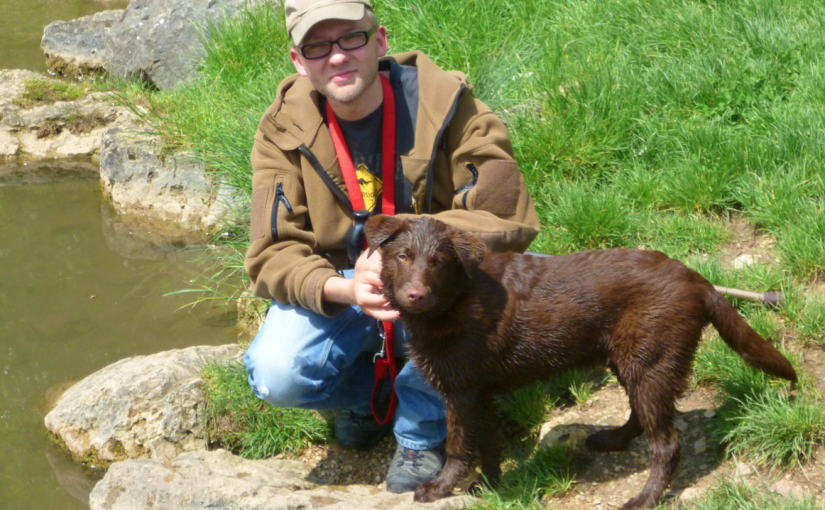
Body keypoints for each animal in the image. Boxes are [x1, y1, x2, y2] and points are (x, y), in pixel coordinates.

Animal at [364, 214, 796, 510]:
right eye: (403, 256)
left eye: (438, 261)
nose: (416, 294)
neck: (455, 303)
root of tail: (700, 281)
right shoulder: (480, 390)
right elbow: (488, 442)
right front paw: (488, 485)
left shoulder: (461, 389)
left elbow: (458, 446)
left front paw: (438, 488)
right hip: (631, 359)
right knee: (642, 415)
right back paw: (611, 440)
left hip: (650, 358)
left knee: (666, 444)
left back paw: (642, 499)